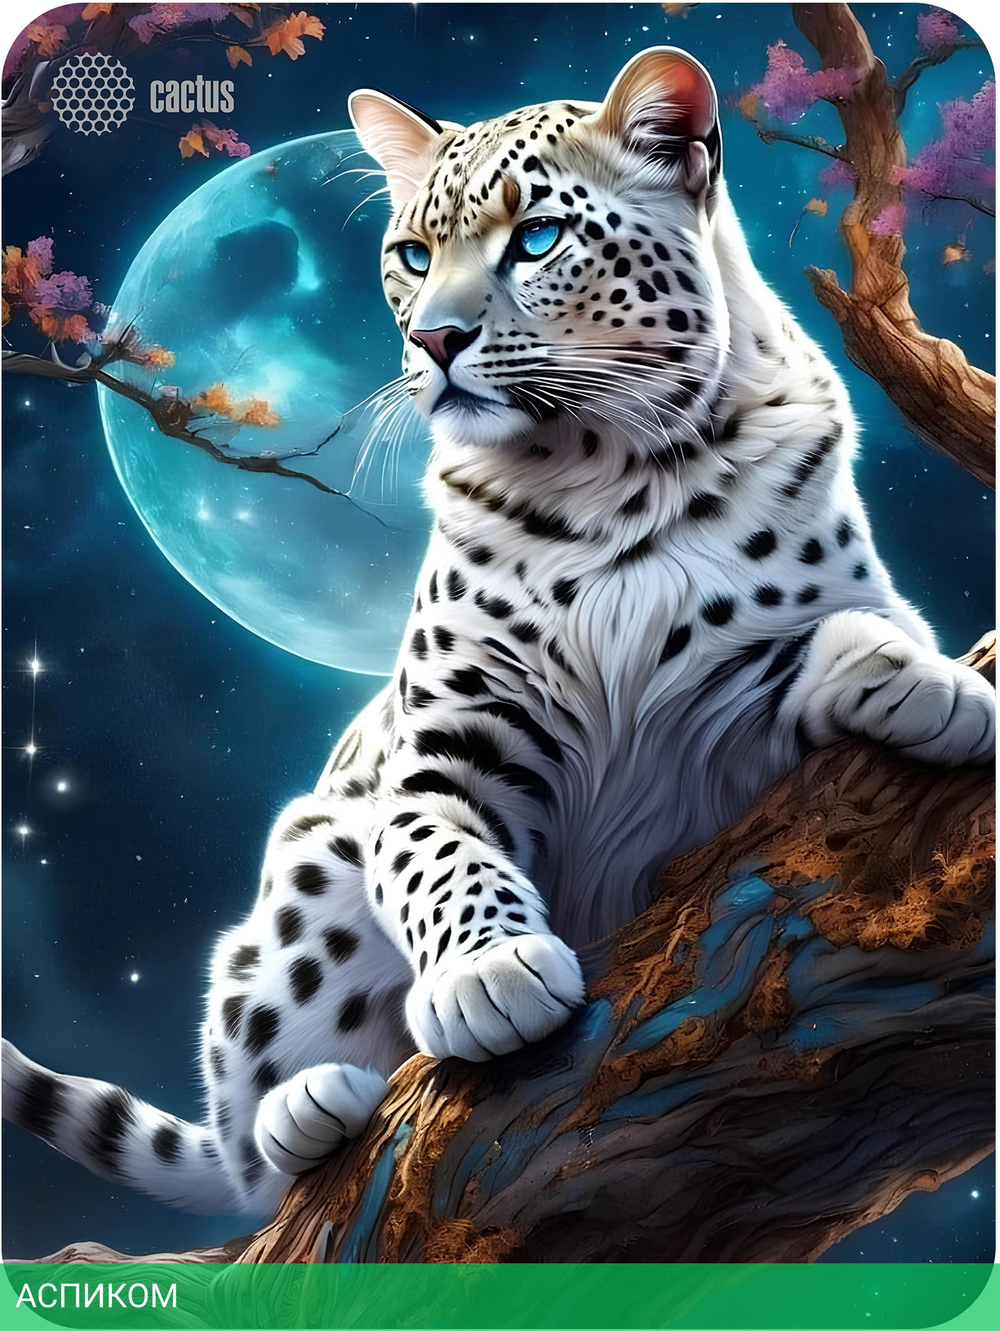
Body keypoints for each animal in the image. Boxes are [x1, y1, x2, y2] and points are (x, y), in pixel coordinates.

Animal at [4, 47, 994, 1218]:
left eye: (537, 236)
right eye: (411, 255)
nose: (433, 338)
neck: (611, 473)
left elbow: (840, 632)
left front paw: (926, 680)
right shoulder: (444, 753)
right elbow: (438, 855)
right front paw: (490, 973)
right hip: (309, 865)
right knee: (251, 1143)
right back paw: (310, 1107)